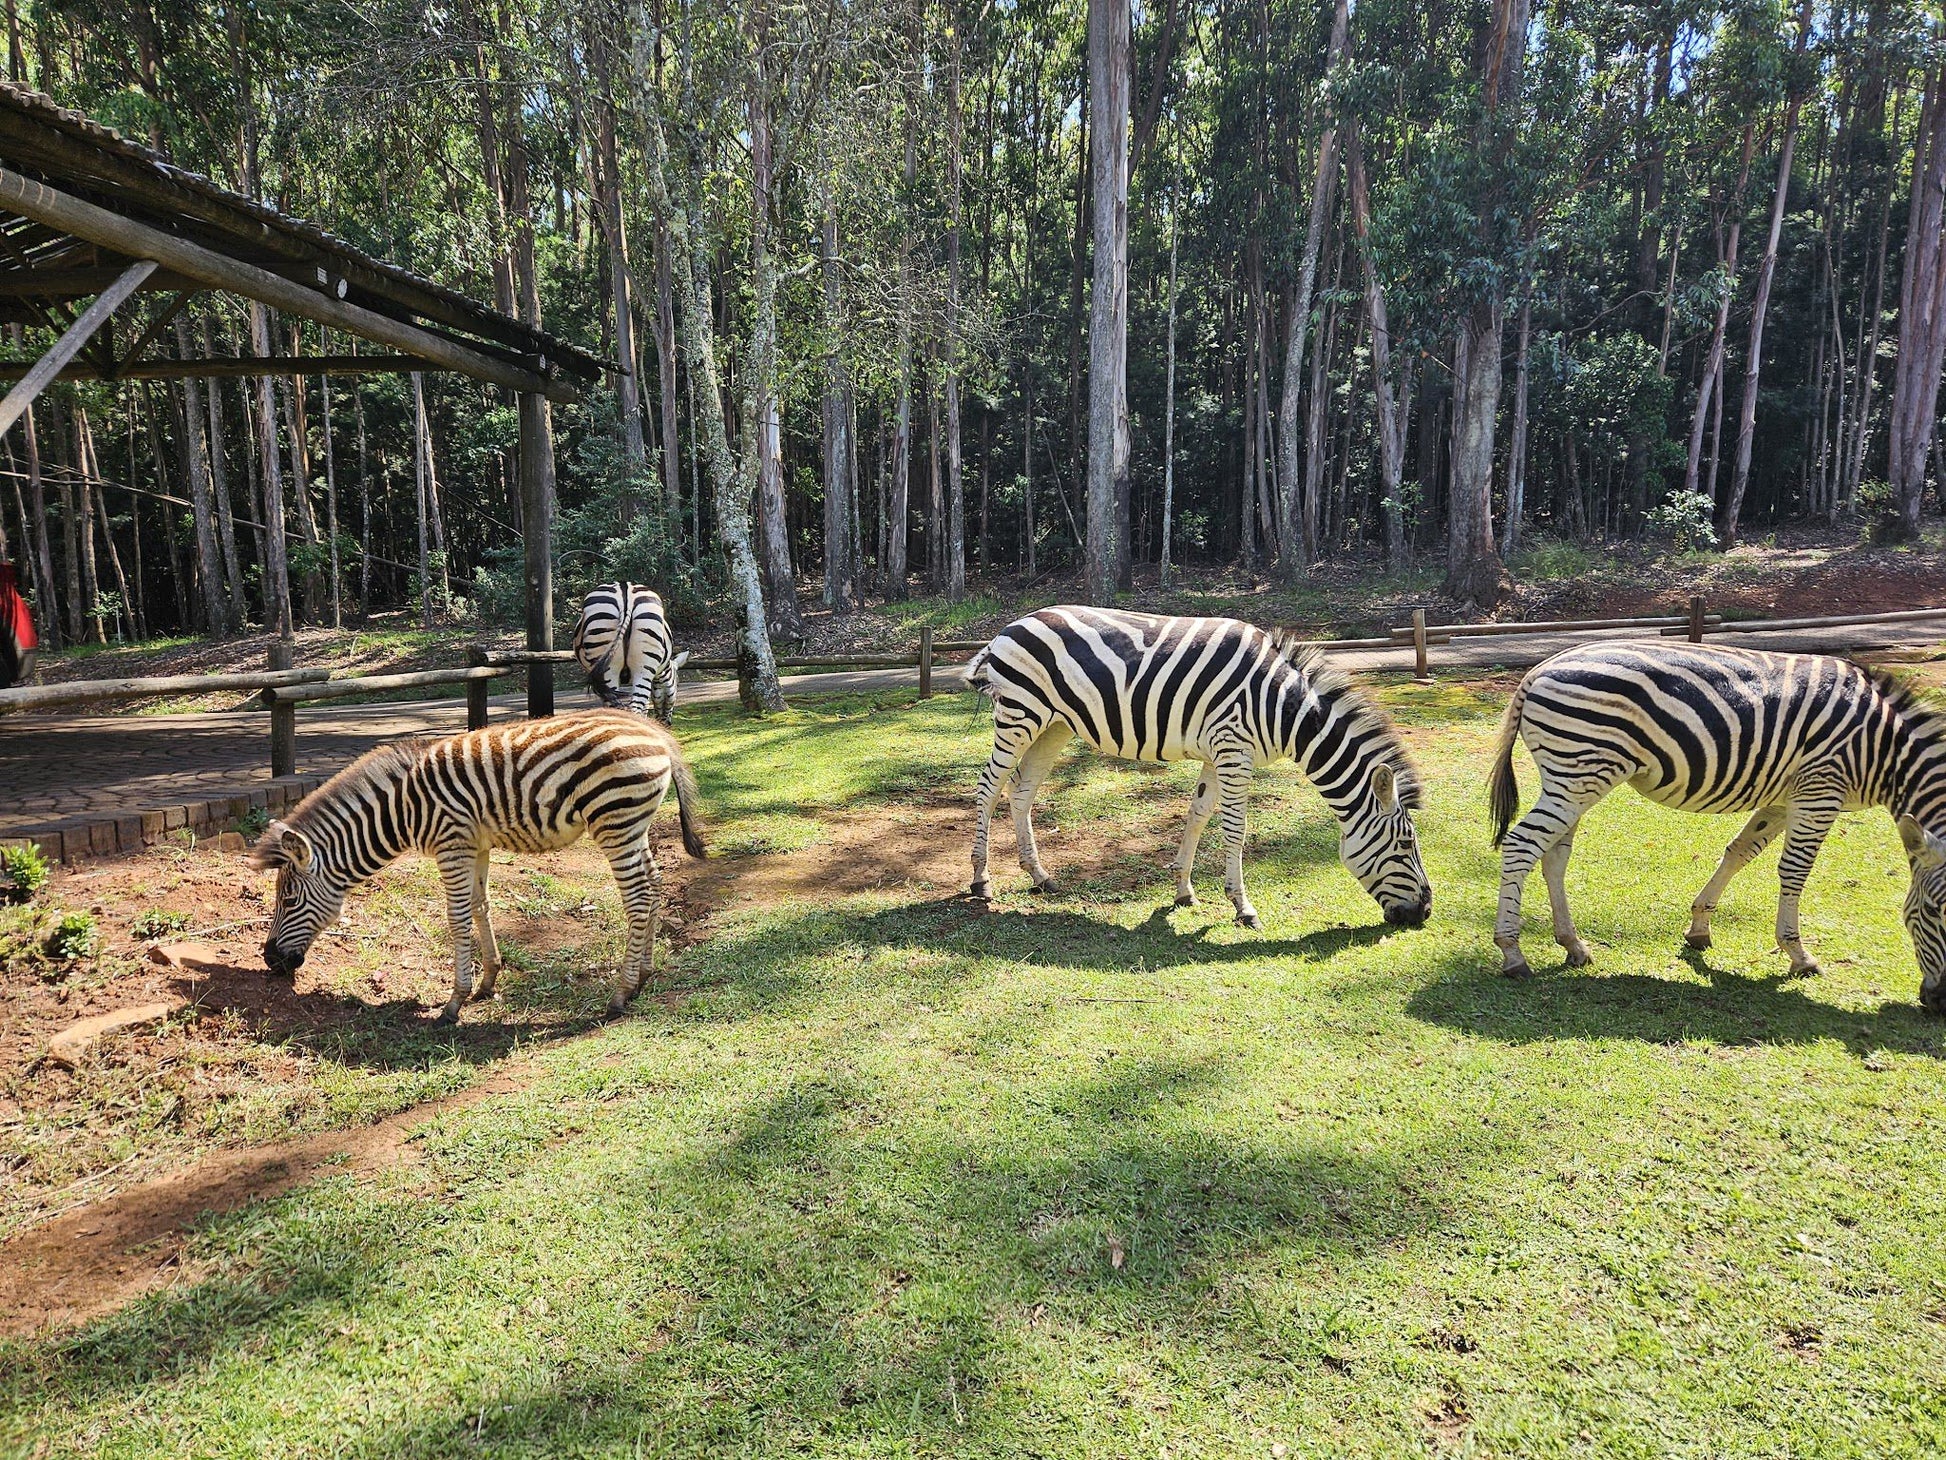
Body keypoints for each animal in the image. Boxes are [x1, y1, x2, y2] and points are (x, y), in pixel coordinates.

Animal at [251, 716, 708, 1020]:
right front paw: (488, 981)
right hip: (634, 825)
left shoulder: (451, 844)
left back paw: (621, 993)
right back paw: (644, 975)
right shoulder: (477, 844)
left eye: (288, 899)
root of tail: (655, 732)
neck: (402, 811)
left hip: (615, 822)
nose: (269, 960)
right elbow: (479, 907)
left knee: (639, 897)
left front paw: (455, 1000)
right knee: (654, 883)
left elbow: (456, 918)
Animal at [572, 580, 688, 724]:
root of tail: (625, 592)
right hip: (642, 666)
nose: (667, 724)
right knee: (635, 708)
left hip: (614, 666)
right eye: (677, 683)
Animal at [965, 607, 1440, 930]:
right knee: (989, 787)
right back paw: (981, 880)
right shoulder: (1233, 751)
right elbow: (1235, 830)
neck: (1283, 709)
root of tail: (1011, 627)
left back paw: (1040, 876)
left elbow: (1197, 814)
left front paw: (1183, 890)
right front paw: (1243, 907)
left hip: (1055, 725)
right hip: (1019, 715)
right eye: (1405, 845)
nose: (1425, 911)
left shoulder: (1219, 753)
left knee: (1021, 790)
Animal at [1486, 638, 1946, 1004]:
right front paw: (1798, 955)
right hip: (1579, 773)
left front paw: (1699, 926)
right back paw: (1512, 953)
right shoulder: (1819, 791)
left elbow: (1740, 852)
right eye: (1933, 910)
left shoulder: (1783, 798)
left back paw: (1573, 945)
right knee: (1522, 845)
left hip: (1574, 778)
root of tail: (1538, 670)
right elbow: (1794, 871)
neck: (1886, 751)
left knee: (1553, 855)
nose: (1936, 1005)